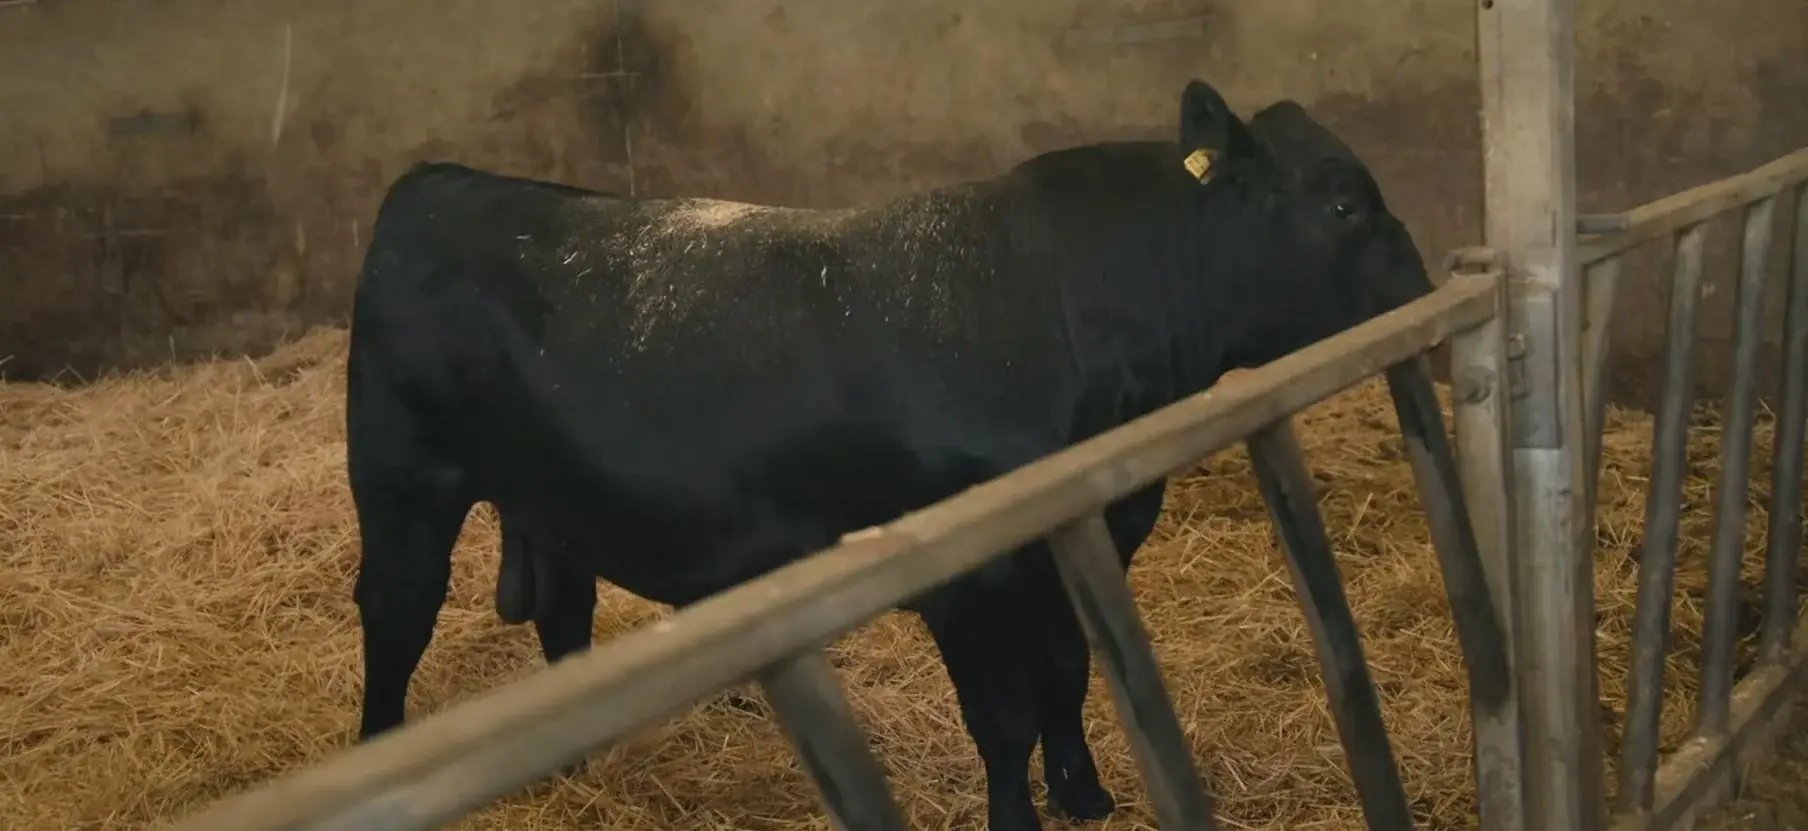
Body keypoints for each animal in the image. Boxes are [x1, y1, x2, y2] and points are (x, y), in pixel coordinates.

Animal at [344, 77, 1432, 831]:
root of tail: (441, 180)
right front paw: (1017, 817)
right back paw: (377, 744)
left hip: (551, 496)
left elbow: (1070, 670)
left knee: (562, 613)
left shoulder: (1087, 539)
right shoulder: (973, 579)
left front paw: (1082, 792)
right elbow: (1003, 714)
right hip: (402, 481)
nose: (1423, 289)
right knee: (395, 616)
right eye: (1344, 208)